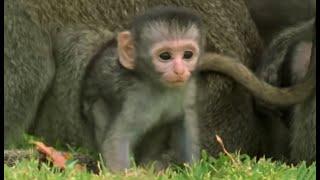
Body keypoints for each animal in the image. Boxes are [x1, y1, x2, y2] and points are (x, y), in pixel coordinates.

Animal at [81, 6, 204, 171]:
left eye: (187, 54)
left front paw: (194, 171)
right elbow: (117, 140)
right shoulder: (134, 97)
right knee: (98, 107)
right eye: (165, 56)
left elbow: (185, 120)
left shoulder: (188, 85)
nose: (179, 71)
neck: (157, 84)